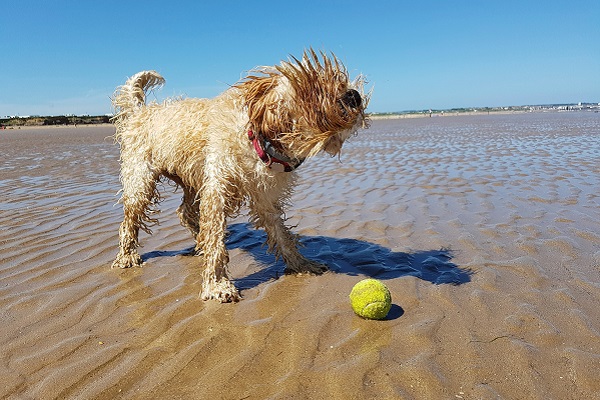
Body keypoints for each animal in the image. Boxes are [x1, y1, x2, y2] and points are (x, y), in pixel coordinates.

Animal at [110, 49, 368, 300]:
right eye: (315, 86)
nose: (354, 95)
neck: (259, 143)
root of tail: (141, 112)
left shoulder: (265, 197)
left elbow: (281, 234)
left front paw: (301, 264)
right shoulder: (217, 190)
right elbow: (216, 238)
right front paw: (217, 285)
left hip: (192, 178)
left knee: (184, 211)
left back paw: (197, 240)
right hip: (141, 181)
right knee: (130, 219)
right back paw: (127, 256)